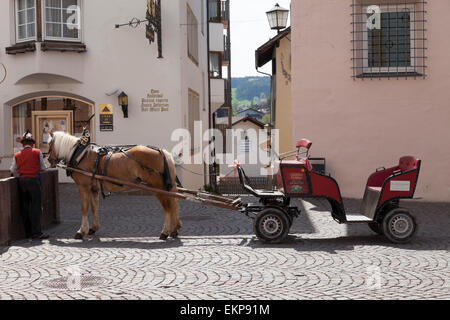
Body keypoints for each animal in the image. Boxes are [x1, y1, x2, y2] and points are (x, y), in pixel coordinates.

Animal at [45, 131, 179, 240]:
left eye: (49, 144)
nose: (49, 160)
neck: (80, 155)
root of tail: (161, 151)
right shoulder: (93, 189)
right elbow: (94, 207)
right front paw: (93, 228)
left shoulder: (83, 187)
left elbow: (84, 208)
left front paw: (81, 231)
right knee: (172, 205)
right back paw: (174, 230)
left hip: (157, 187)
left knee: (167, 208)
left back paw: (164, 232)